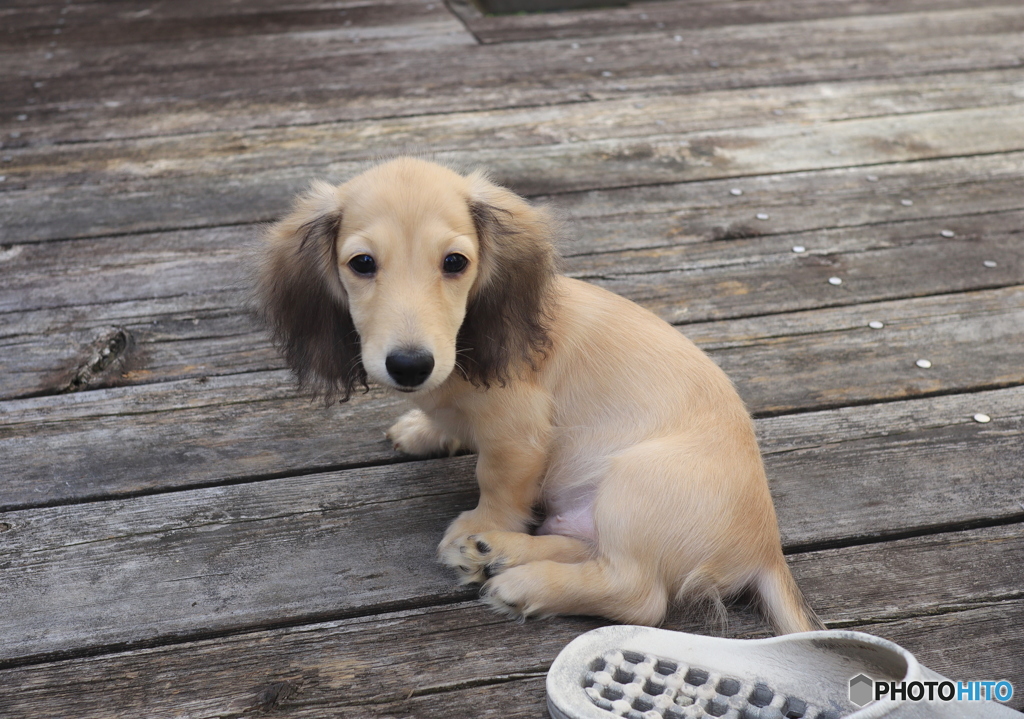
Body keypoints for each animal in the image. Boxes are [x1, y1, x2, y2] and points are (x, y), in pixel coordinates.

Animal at [253, 154, 823, 635]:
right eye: (362, 263)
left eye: (455, 262)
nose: (411, 366)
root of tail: (765, 550)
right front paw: (424, 431)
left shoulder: (518, 433)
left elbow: (497, 481)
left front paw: (483, 519)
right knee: (586, 549)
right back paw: (496, 552)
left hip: (637, 481)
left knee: (638, 595)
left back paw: (519, 579)